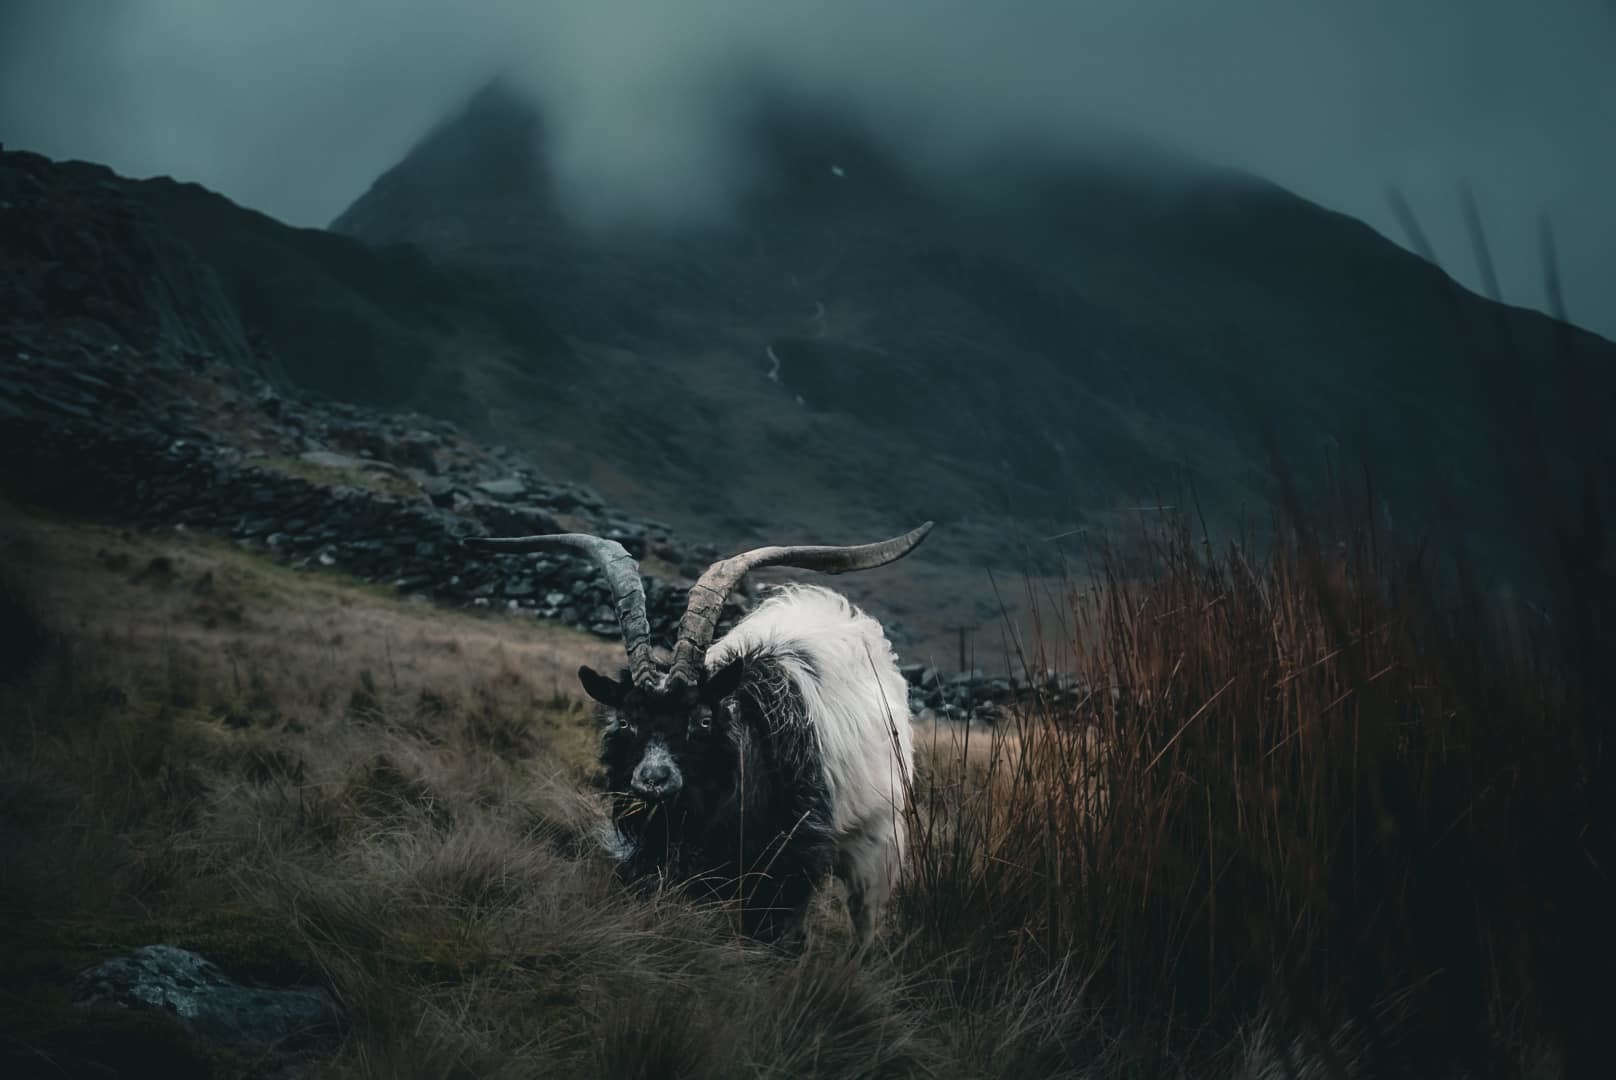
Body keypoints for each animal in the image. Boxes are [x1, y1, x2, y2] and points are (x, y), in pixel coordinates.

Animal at [462, 527, 930, 950]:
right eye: (626, 721)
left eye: (703, 721)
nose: (654, 780)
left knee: (864, 922)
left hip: (876, 843)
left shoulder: (788, 875)